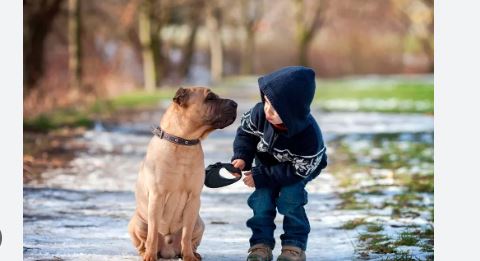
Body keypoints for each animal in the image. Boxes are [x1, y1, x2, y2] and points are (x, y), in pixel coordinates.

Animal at [128, 86, 237, 258]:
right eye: (210, 98)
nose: (235, 104)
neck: (183, 143)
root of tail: (168, 250)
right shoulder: (157, 196)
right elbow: (152, 234)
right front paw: (150, 256)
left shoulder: (193, 199)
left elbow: (186, 234)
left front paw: (189, 257)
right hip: (138, 223)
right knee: (144, 241)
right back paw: (146, 253)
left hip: (199, 223)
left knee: (190, 240)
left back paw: (193, 254)